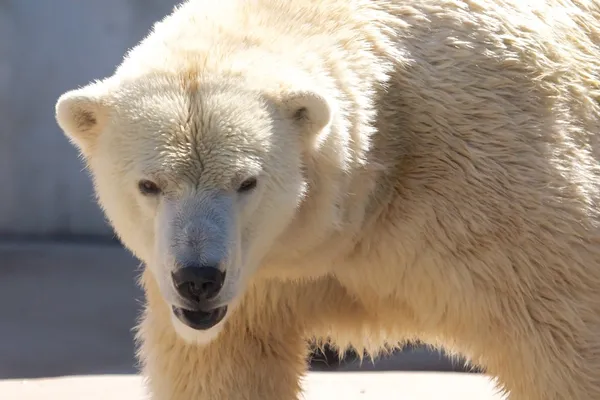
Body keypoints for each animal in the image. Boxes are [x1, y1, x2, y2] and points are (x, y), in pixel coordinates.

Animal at [55, 0, 600, 398]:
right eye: (149, 185)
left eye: (246, 182)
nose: (198, 279)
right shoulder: (259, 279)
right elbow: (225, 365)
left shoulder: (501, 198)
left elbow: (566, 346)